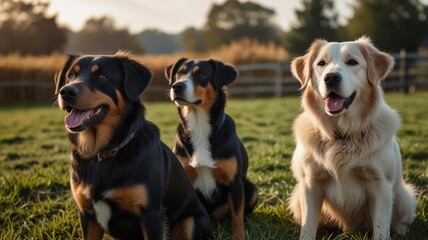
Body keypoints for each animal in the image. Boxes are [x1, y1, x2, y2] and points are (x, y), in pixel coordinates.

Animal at [54, 53, 212, 240]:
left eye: (102, 76)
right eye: (70, 76)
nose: (66, 91)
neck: (103, 152)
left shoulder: (151, 214)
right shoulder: (86, 215)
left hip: (191, 221)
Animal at [164, 58, 258, 240]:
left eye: (201, 74)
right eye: (179, 73)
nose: (177, 86)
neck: (199, 127)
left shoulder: (235, 184)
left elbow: (237, 217)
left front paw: (239, 235)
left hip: (251, 189)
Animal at [290, 36, 416, 239]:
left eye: (352, 62)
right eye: (321, 63)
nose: (331, 77)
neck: (342, 135)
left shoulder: (380, 184)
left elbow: (381, 228)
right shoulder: (310, 183)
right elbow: (308, 226)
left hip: (404, 197)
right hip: (296, 198)